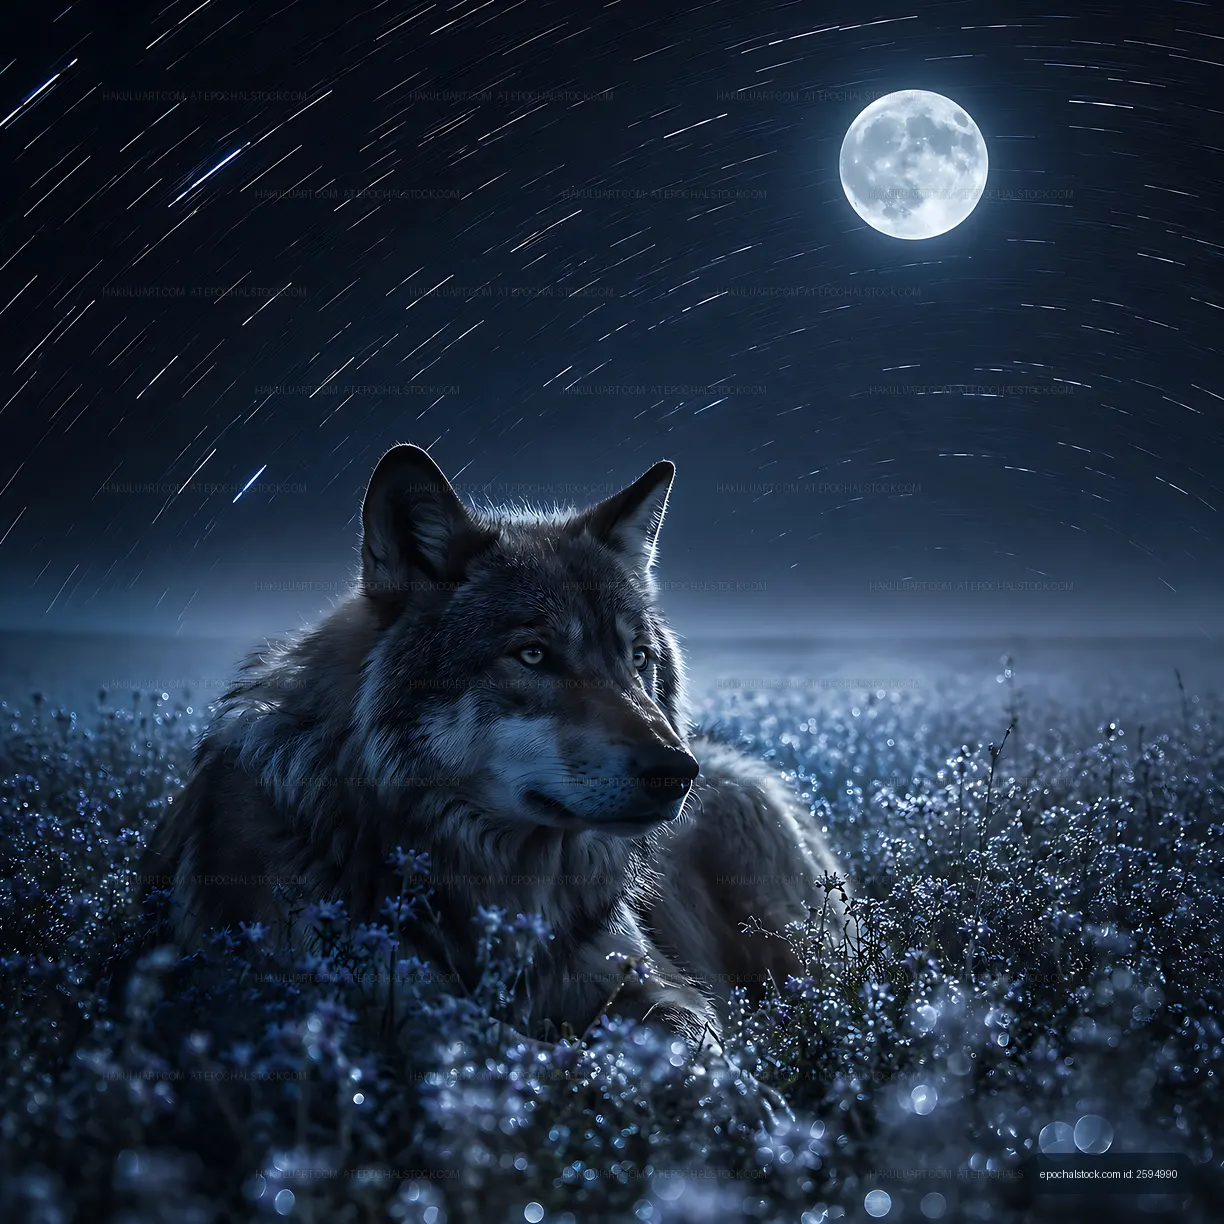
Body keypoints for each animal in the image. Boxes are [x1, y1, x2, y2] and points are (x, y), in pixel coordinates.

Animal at [140, 444, 848, 1043]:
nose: (677, 771)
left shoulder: (656, 985)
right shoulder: (387, 1003)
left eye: (638, 658)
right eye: (533, 655)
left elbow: (688, 1051)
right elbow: (510, 1054)